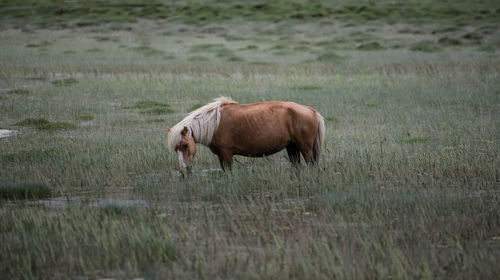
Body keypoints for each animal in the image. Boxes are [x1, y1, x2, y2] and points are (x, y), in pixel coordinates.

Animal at [168, 97, 324, 175]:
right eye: (176, 149)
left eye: (185, 145)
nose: (184, 169)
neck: (214, 123)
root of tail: (312, 111)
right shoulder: (221, 155)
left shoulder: (226, 154)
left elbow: (229, 172)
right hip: (292, 147)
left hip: (305, 148)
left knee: (311, 164)